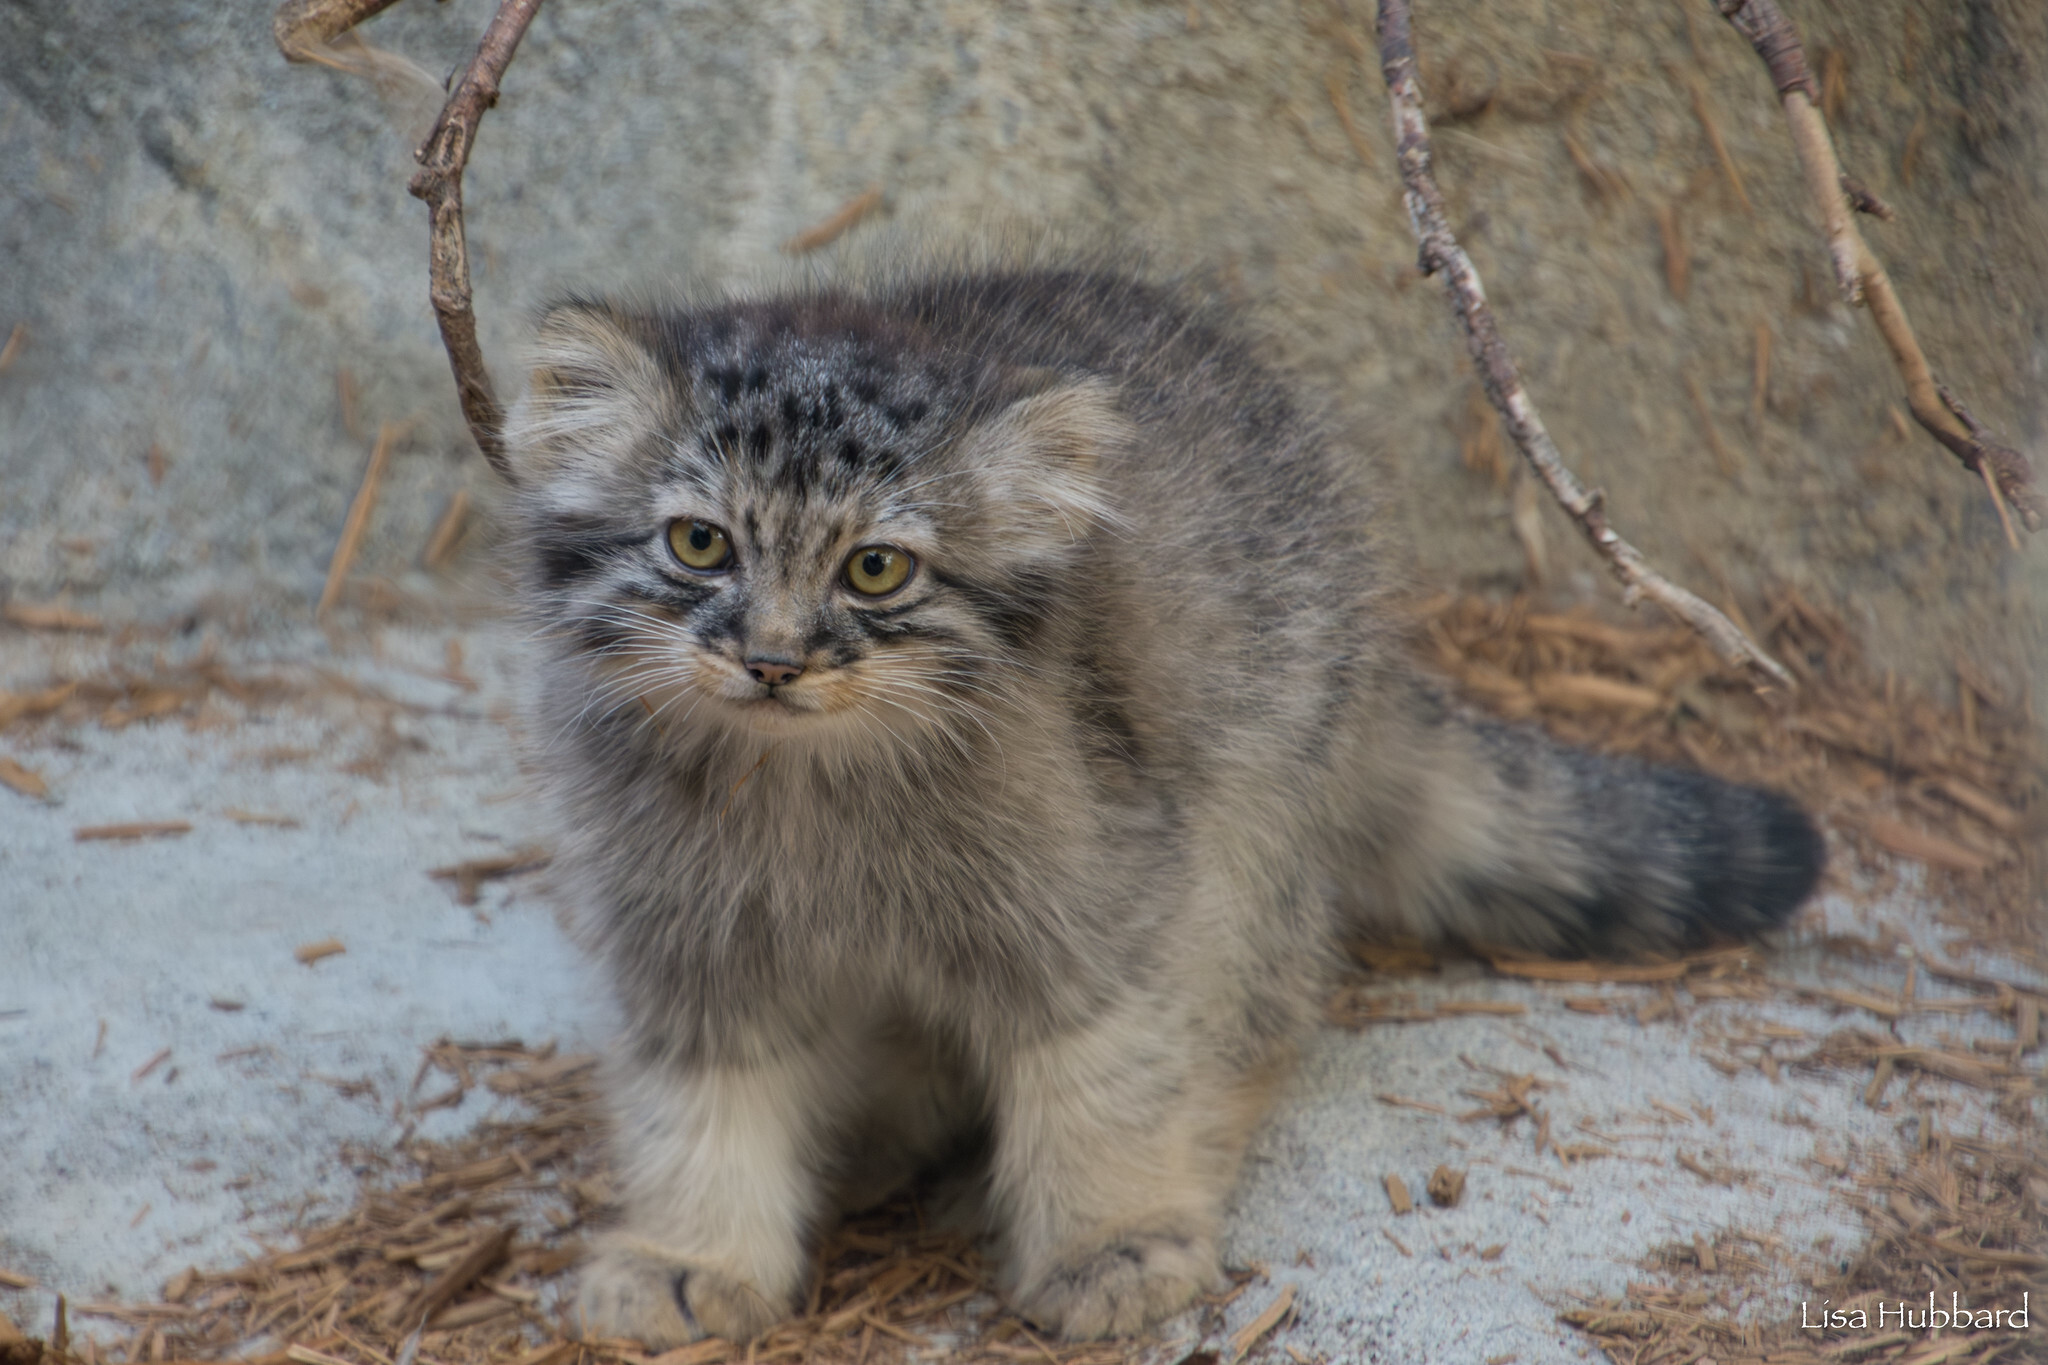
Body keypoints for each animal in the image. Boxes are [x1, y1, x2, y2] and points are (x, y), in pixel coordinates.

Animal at [503, 266, 1818, 1342]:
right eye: (699, 545)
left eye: (875, 569)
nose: (773, 662)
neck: (807, 793)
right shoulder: (686, 938)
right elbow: (697, 1103)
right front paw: (693, 1254)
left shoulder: (1095, 891)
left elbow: (1104, 1070)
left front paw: (1109, 1232)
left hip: (1253, 806)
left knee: (1253, 1010)